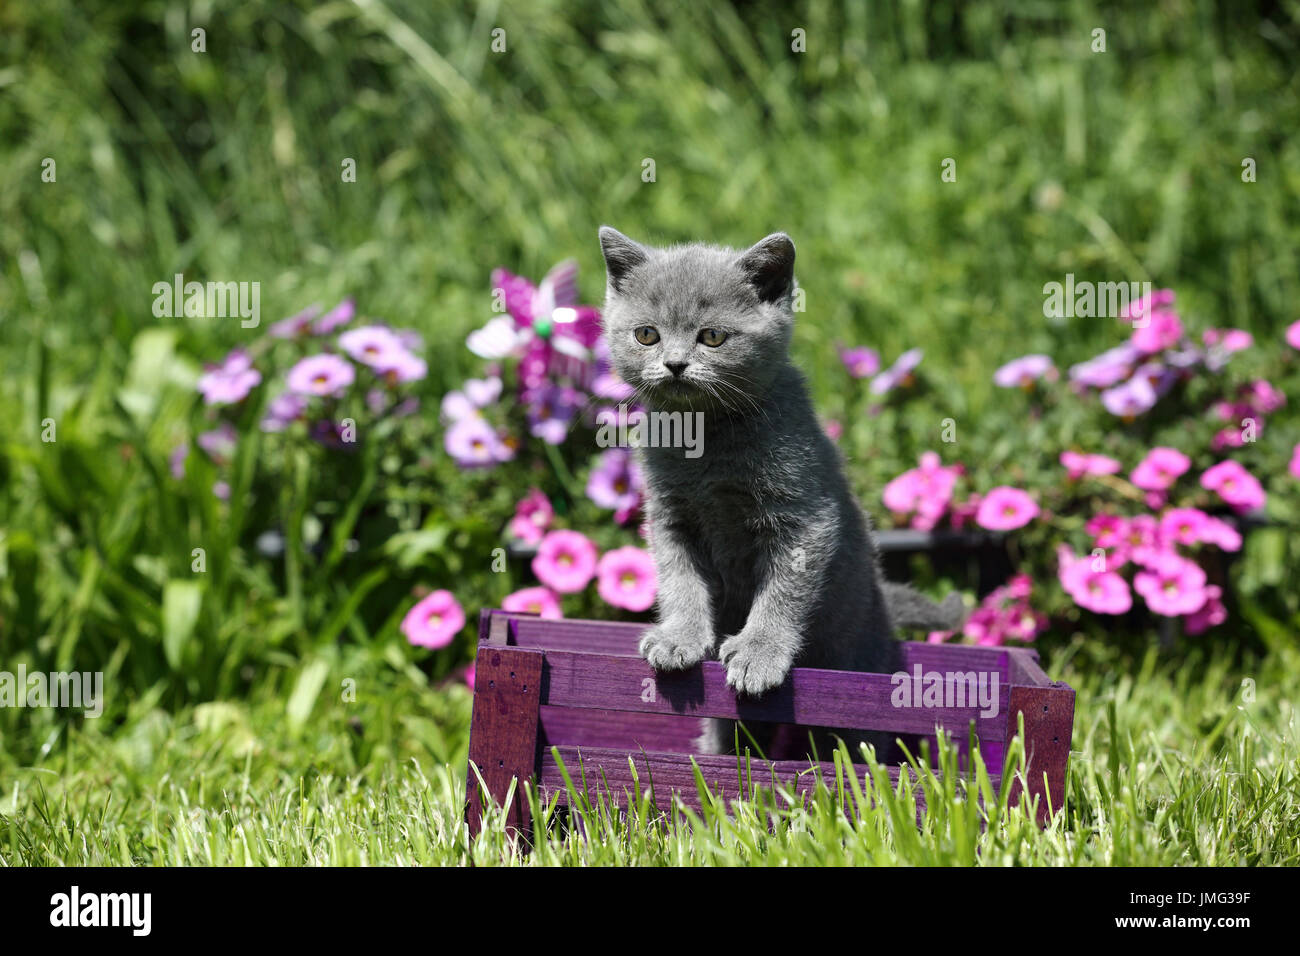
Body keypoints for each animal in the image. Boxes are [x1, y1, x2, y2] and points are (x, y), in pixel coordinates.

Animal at [598, 227, 967, 759]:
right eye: (647, 334)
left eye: (712, 336)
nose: (674, 364)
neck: (707, 441)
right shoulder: (670, 518)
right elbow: (679, 581)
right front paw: (678, 639)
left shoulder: (804, 518)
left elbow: (783, 591)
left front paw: (759, 654)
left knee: (865, 738)